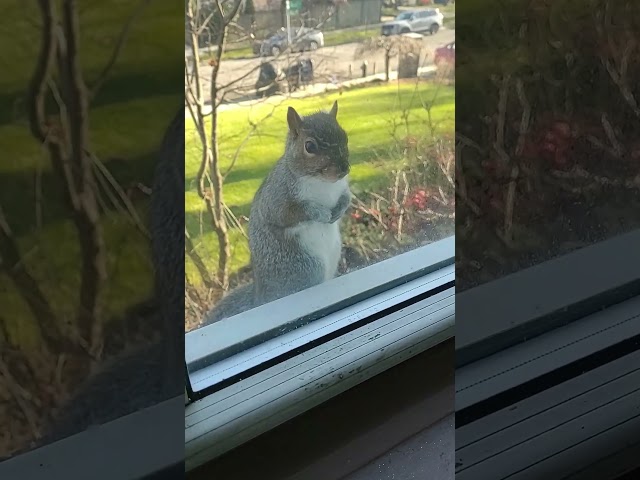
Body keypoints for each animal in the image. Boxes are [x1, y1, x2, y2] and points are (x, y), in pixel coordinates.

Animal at [205, 101, 351, 323]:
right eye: (309, 146)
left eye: (345, 136)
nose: (344, 169)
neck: (323, 182)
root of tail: (261, 298)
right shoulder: (277, 199)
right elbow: (292, 213)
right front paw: (322, 214)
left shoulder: (342, 188)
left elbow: (346, 198)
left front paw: (339, 210)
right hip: (306, 267)